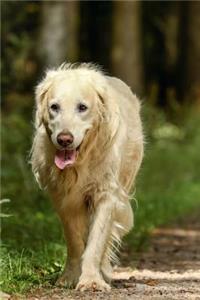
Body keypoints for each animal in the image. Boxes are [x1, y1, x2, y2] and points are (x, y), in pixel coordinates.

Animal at [30, 63, 143, 290]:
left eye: (82, 107)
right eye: (54, 107)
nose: (64, 139)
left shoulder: (106, 195)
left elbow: (96, 241)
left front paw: (91, 280)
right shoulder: (63, 199)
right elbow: (74, 241)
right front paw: (70, 276)